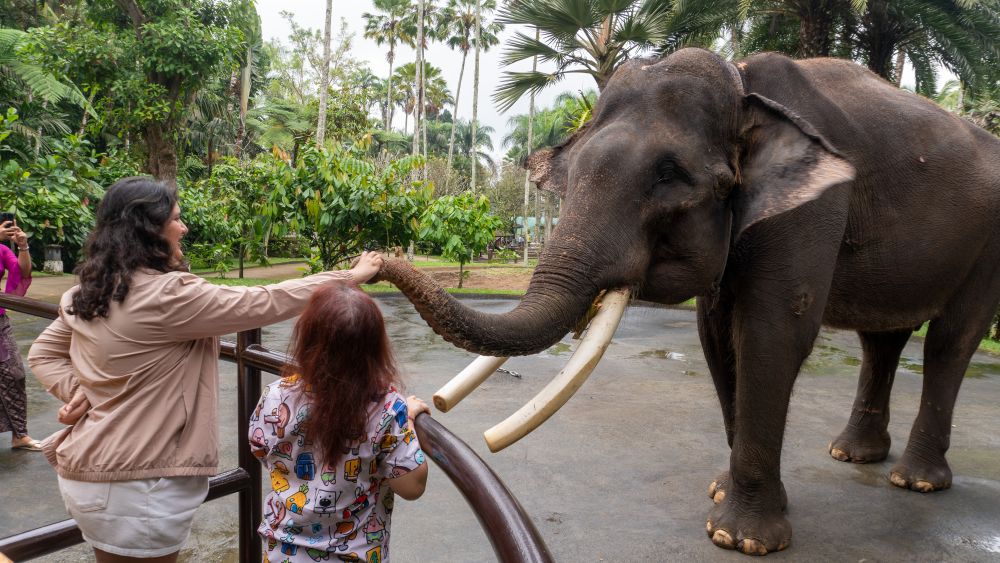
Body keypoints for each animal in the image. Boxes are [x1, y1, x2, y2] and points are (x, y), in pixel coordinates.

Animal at [375, 47, 1000, 555]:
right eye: (572, 175)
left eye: (670, 177)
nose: (379, 260)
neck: (746, 90)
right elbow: (716, 337)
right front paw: (723, 494)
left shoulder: (815, 206)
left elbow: (771, 332)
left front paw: (740, 538)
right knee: (884, 339)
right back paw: (853, 456)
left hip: (987, 247)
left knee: (951, 340)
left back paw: (914, 481)